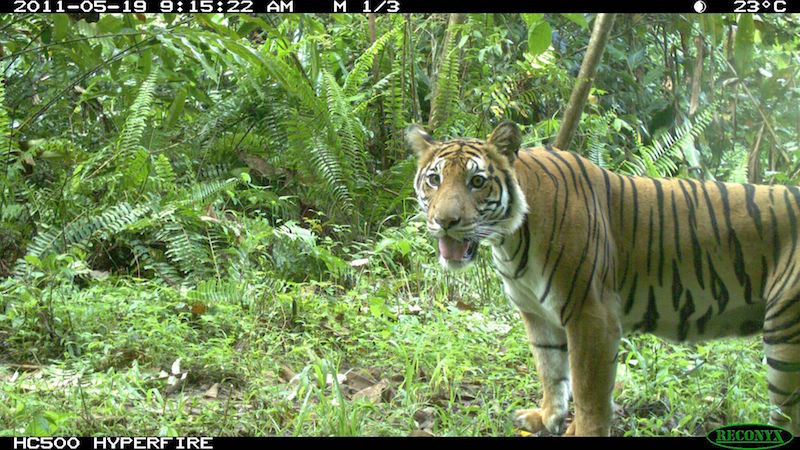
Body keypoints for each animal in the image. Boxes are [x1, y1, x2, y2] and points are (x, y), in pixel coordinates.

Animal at [406, 120, 800, 436]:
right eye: (435, 179)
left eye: (477, 181)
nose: (445, 221)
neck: (511, 238)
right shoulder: (536, 313)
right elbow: (551, 371)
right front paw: (546, 419)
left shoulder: (591, 315)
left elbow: (588, 390)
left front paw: (583, 431)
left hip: (785, 337)